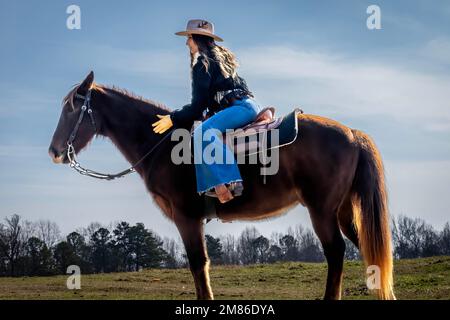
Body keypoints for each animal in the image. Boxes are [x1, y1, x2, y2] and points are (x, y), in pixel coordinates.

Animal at [47, 72, 396, 300]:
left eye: (72, 108)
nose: (54, 151)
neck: (164, 144)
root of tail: (352, 134)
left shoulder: (187, 218)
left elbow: (198, 265)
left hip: (321, 210)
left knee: (336, 253)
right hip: (343, 210)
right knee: (367, 247)